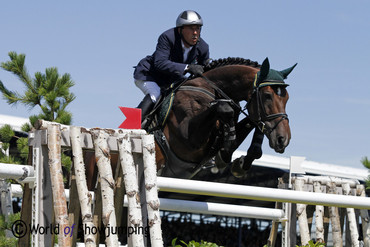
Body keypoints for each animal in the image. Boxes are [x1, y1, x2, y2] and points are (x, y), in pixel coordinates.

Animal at [149, 57, 296, 178]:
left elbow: (253, 122)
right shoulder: (186, 136)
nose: (283, 139)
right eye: (267, 95)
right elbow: (225, 109)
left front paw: (240, 163)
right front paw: (226, 150)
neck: (213, 90)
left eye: (287, 98)